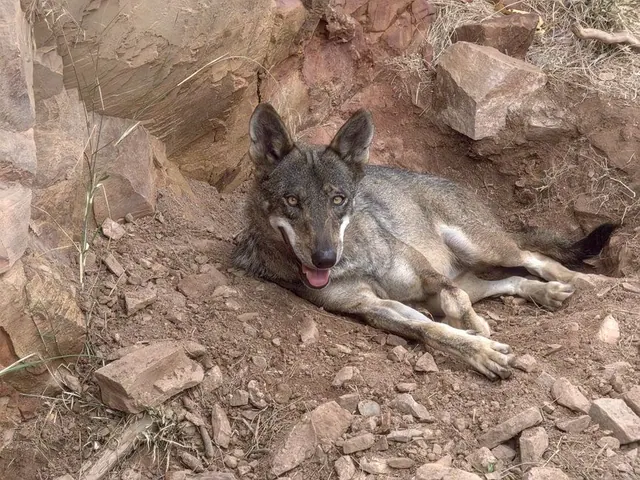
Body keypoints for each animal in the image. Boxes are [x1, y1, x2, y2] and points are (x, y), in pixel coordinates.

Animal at [232, 103, 616, 380]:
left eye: (338, 200)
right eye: (292, 201)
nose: (324, 258)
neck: (353, 259)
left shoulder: (429, 275)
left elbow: (456, 302)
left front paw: (477, 329)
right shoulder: (374, 308)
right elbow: (430, 328)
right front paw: (479, 348)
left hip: (483, 246)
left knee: (533, 257)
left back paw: (581, 282)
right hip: (472, 274)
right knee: (511, 280)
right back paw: (546, 293)